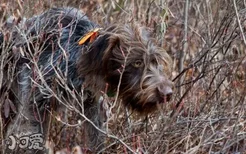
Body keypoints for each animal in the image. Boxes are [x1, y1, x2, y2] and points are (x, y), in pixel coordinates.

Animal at [0, 6, 173, 153]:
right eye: (137, 63)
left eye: (155, 61)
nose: (168, 93)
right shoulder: (36, 105)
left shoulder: (92, 106)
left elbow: (95, 139)